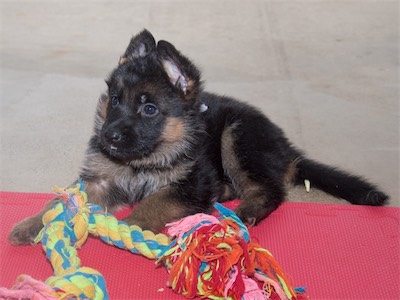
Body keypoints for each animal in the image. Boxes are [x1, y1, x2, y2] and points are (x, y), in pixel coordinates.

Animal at [9, 29, 390, 245]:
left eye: (149, 109)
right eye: (115, 100)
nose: (109, 137)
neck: (143, 161)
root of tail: (286, 148)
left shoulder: (190, 185)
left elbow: (155, 200)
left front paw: (129, 226)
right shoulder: (100, 180)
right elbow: (59, 203)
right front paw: (32, 224)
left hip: (237, 136)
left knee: (271, 190)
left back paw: (248, 209)